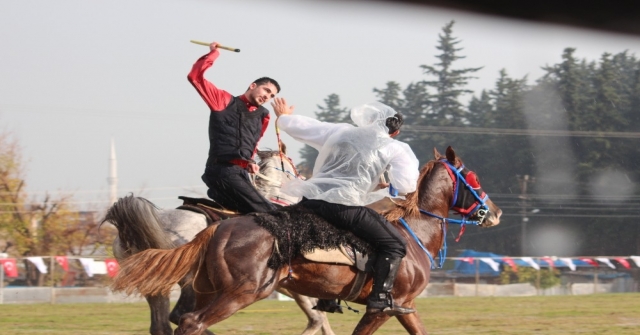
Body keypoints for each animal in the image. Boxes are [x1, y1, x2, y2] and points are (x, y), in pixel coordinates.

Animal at [115, 148, 502, 335]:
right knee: (190, 323)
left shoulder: (404, 307)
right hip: (240, 293)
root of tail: (218, 227)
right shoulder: (385, 307)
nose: (495, 212)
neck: (414, 230)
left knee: (174, 321)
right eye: (472, 177)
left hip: (205, 289)